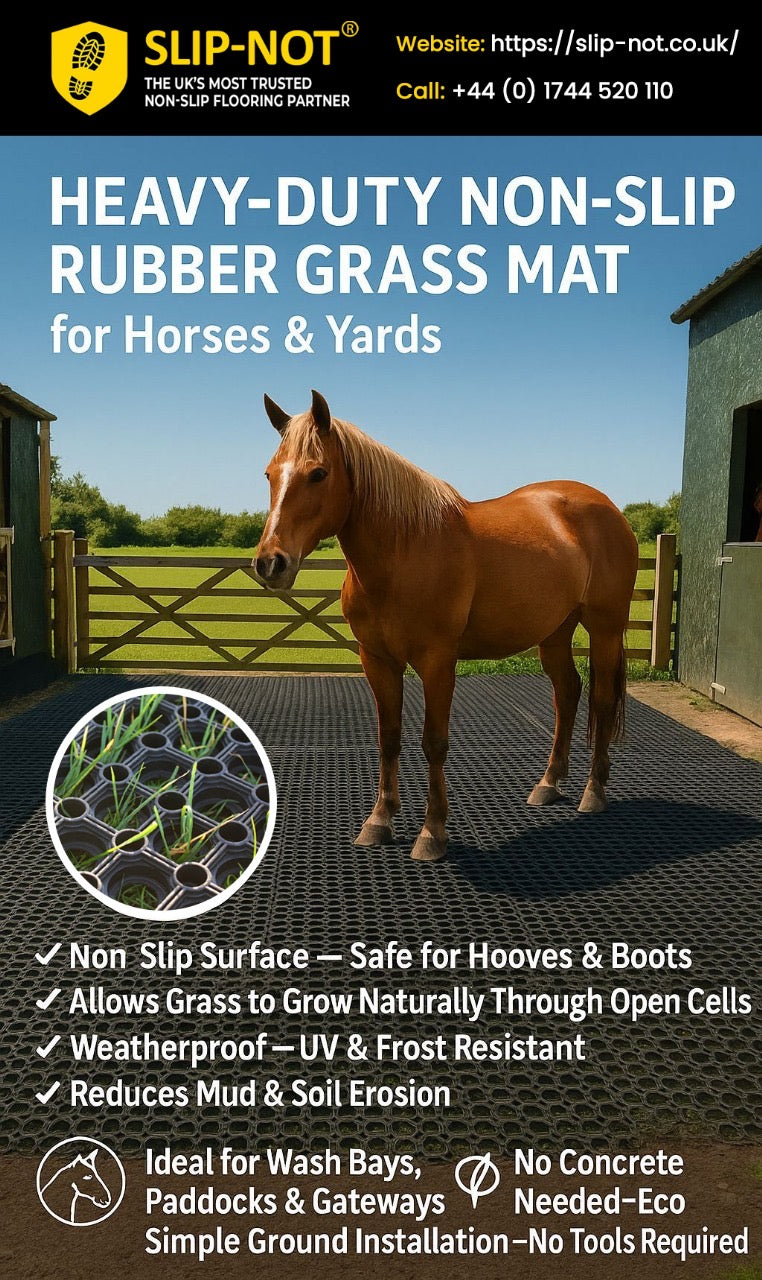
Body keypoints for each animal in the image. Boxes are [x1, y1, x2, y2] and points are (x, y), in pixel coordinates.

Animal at [255, 390, 639, 863]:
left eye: (318, 473)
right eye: (270, 473)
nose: (271, 563)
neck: (403, 552)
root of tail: (607, 508)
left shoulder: (438, 661)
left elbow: (433, 741)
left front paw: (432, 832)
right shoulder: (377, 660)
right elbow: (389, 737)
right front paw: (378, 821)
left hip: (605, 627)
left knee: (600, 700)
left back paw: (593, 792)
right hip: (555, 632)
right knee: (567, 694)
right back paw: (549, 784)